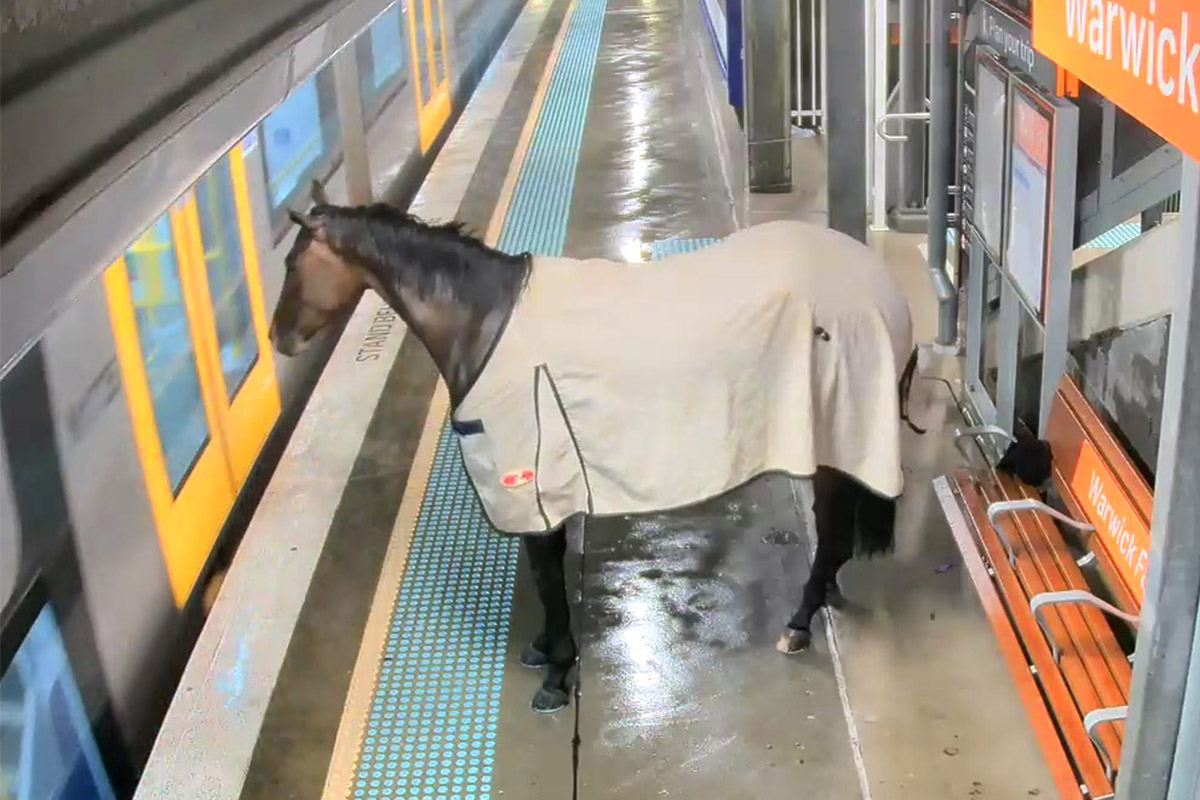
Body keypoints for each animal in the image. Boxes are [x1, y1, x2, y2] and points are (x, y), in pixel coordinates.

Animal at [272, 185, 921, 714]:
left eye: (292, 262)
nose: (280, 340)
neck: (485, 324)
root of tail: (883, 288)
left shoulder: (529, 488)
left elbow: (547, 582)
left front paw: (556, 676)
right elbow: (552, 576)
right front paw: (544, 652)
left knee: (832, 532)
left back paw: (798, 623)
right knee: (835, 535)